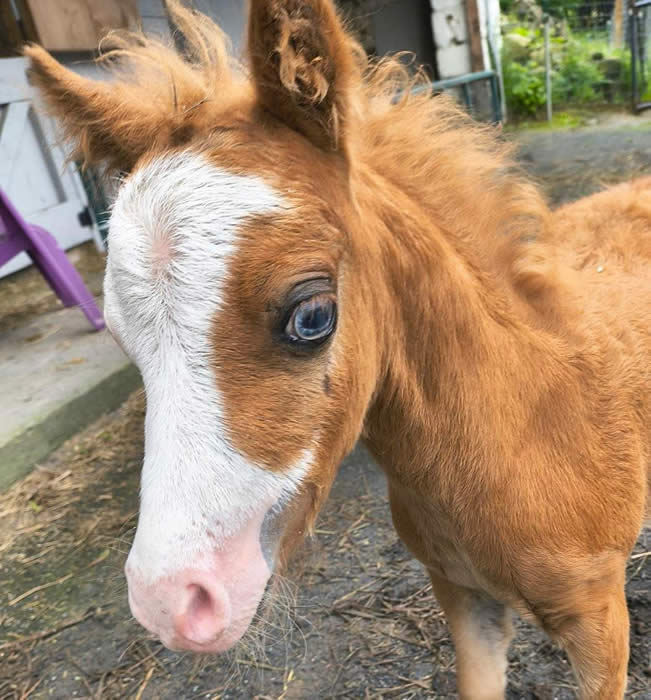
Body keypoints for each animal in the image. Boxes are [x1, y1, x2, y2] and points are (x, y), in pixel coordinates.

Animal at [24, 1, 650, 697]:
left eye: (312, 315)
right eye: (121, 334)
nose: (171, 601)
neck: (529, 430)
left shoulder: (599, 623)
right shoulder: (463, 596)